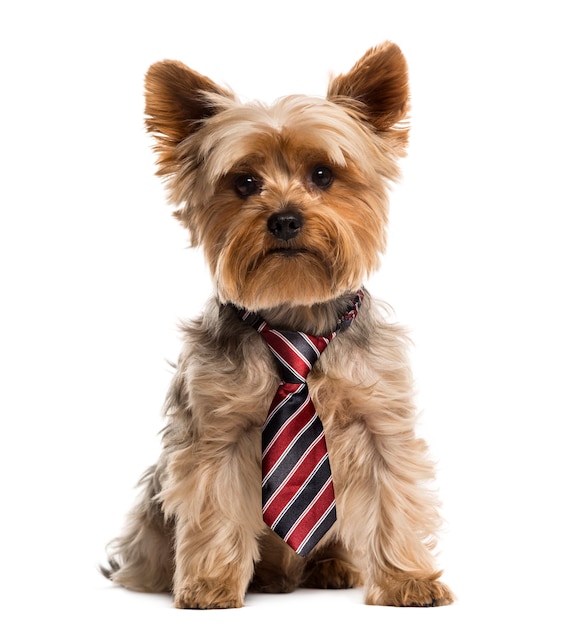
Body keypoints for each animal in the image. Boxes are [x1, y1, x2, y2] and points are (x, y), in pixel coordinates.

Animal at [102, 39, 454, 604]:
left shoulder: (380, 419)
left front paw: (408, 580)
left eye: (323, 175)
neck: (296, 320)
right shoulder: (217, 432)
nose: (285, 218)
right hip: (153, 509)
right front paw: (210, 585)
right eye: (245, 183)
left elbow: (393, 500)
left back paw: (332, 566)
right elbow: (215, 507)